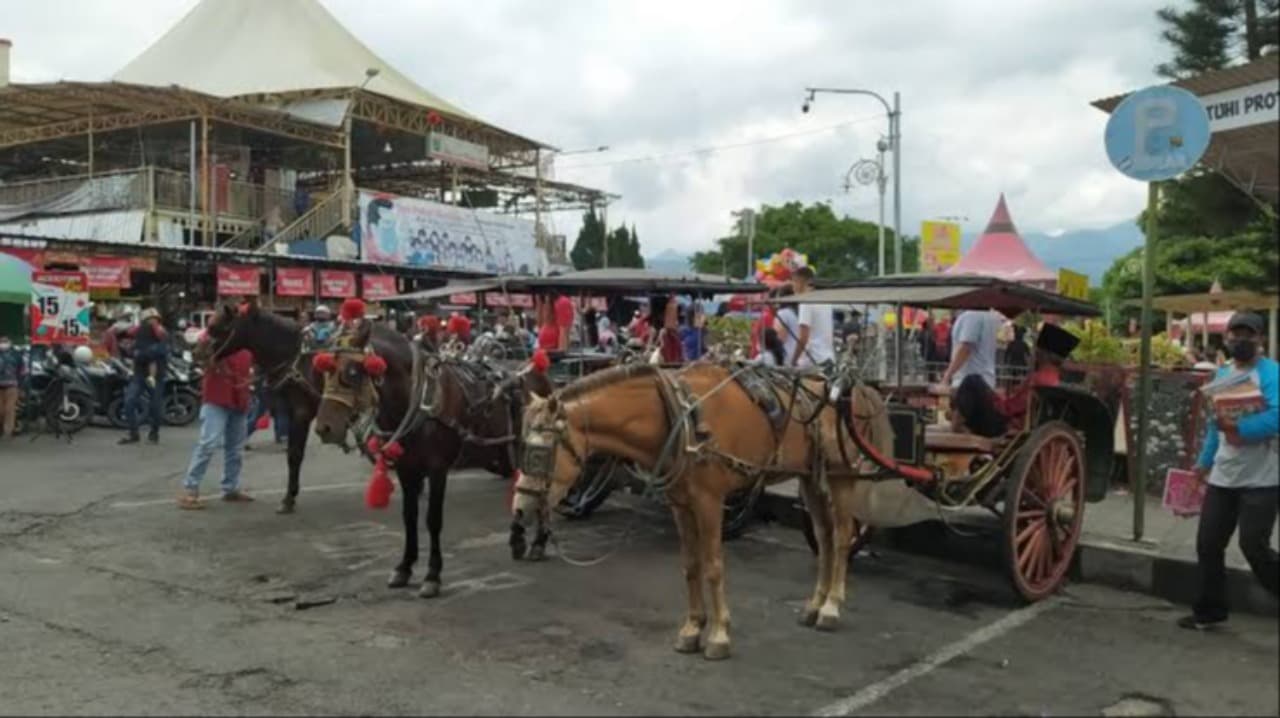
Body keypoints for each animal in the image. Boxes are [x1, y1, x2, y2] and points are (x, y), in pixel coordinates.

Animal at [203, 302, 325, 514]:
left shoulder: (301, 413)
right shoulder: (291, 413)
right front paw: (290, 497)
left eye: (216, 328)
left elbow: (295, 455)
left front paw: (289, 499)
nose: (197, 353)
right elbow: (292, 452)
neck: (295, 361)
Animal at [313, 318, 550, 593]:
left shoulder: (437, 469)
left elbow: (433, 520)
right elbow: (409, 517)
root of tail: (539, 373)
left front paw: (432, 574)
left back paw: (539, 542)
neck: (417, 402)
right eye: (325, 371)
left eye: (353, 372)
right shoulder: (407, 469)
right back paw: (517, 538)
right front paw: (404, 567)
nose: (324, 428)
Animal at [509, 360, 890, 660]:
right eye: (522, 446)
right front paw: (692, 629)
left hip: (841, 476)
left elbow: (713, 567)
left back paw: (831, 606)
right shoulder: (681, 504)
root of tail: (853, 386)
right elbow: (691, 566)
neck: (676, 418)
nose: (523, 508)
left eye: (541, 453)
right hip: (810, 477)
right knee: (824, 537)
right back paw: (814, 604)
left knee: (841, 537)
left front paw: (719, 634)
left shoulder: (709, 501)